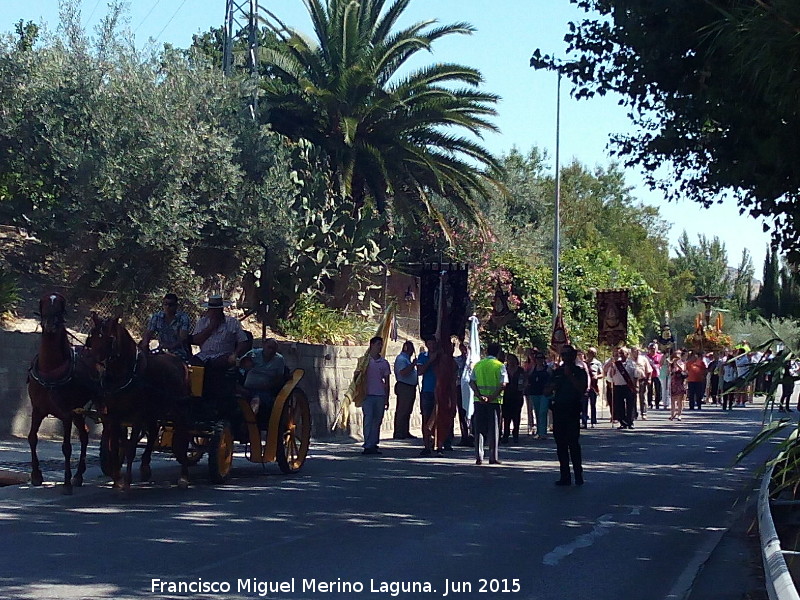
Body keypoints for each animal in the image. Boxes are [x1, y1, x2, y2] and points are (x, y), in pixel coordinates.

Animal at [27, 292, 99, 494]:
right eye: (43, 302)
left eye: (60, 304)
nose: (51, 323)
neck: (51, 369)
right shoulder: (37, 410)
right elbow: (32, 438)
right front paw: (36, 475)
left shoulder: (66, 414)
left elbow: (66, 447)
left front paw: (66, 483)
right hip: (79, 411)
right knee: (84, 435)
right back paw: (79, 475)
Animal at [86, 314, 193, 488]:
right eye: (92, 337)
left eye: (110, 339)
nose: (94, 367)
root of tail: (180, 362)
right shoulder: (114, 415)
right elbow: (116, 445)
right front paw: (117, 479)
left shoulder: (137, 416)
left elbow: (131, 449)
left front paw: (127, 481)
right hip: (154, 411)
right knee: (153, 432)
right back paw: (145, 467)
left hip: (179, 410)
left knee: (182, 437)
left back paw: (183, 476)